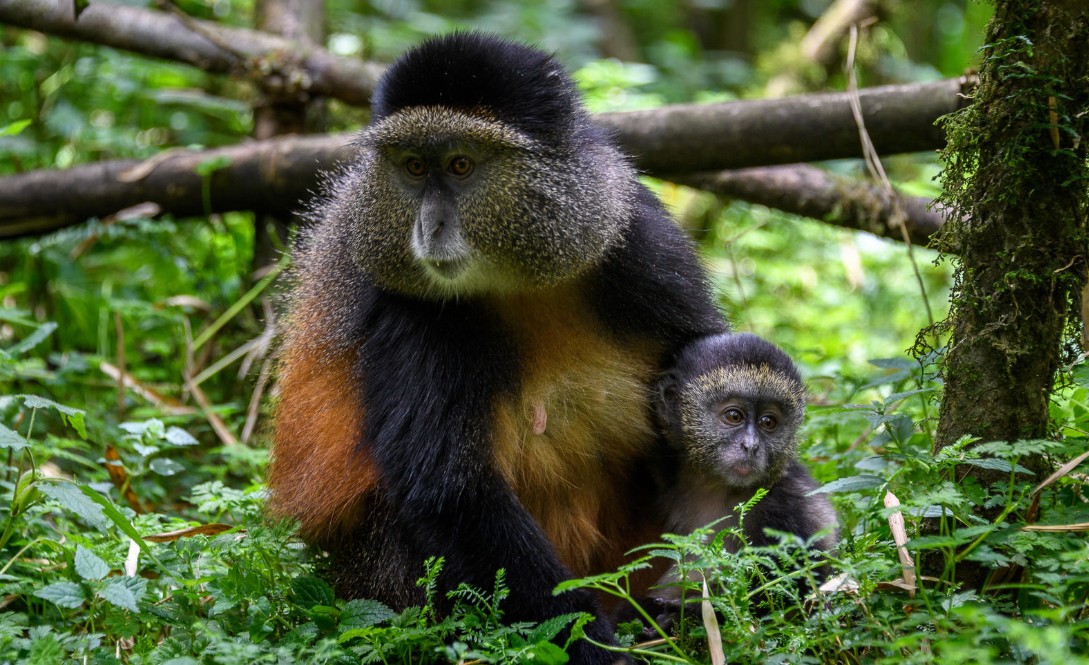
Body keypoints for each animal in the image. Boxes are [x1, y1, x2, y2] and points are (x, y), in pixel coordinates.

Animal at [265, 33, 726, 664]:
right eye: (413, 167)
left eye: (461, 165)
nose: (429, 228)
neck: (518, 279)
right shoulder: (412, 313)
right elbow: (451, 493)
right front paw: (595, 648)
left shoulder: (640, 243)